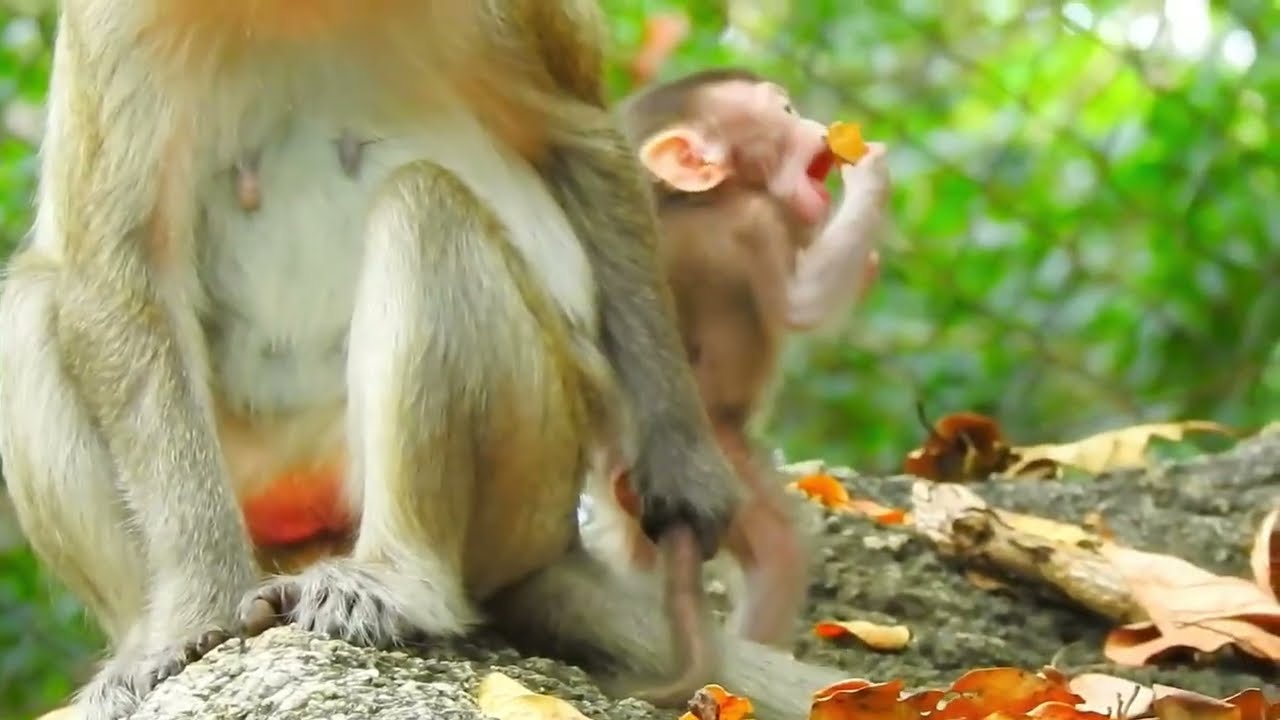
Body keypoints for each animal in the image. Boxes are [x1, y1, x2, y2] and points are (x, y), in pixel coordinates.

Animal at [0, 4, 856, 720]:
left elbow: (574, 137)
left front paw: (683, 465)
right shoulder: (110, 25)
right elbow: (121, 261)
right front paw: (192, 617)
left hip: (532, 475)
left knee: (426, 210)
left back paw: (395, 582)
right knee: (34, 303)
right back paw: (144, 647)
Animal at [585, 68, 890, 648]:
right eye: (787, 112)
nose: (821, 128)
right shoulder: (754, 222)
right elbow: (802, 306)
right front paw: (871, 177)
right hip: (710, 463)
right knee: (777, 551)